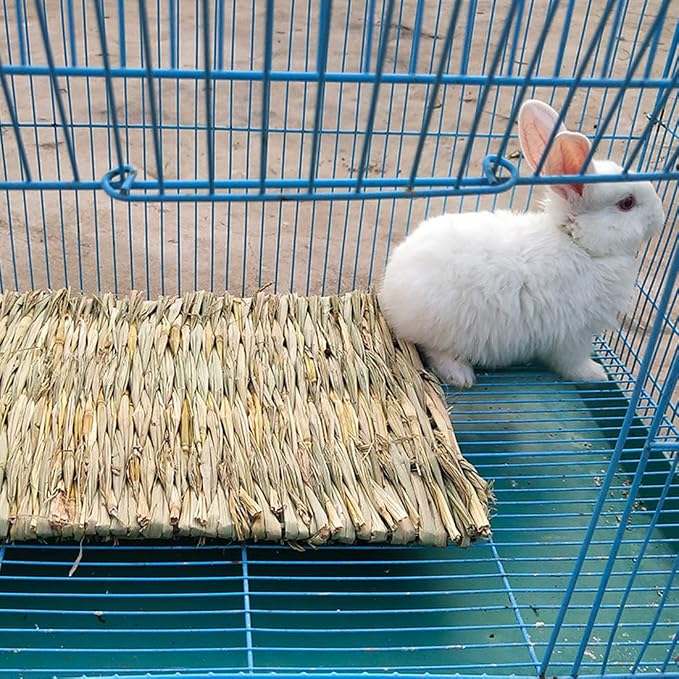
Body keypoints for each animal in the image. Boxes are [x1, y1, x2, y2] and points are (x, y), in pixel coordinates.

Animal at [378, 99, 665, 388]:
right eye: (627, 203)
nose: (660, 216)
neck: (579, 244)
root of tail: (389, 291)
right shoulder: (573, 336)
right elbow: (573, 365)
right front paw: (596, 374)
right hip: (447, 328)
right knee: (435, 351)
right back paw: (461, 376)